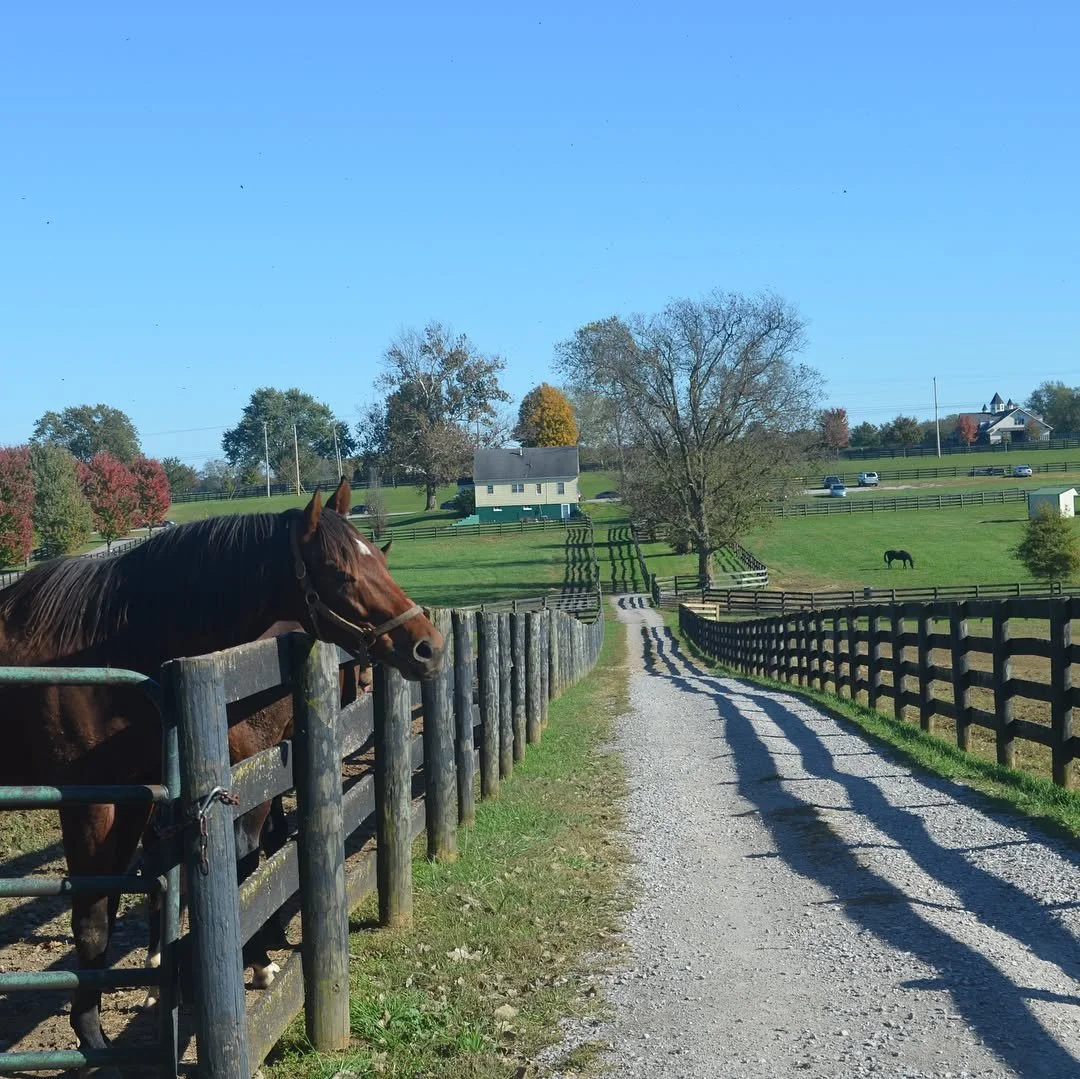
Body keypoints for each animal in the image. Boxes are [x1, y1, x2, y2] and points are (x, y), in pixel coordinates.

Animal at [0, 477, 442, 1061]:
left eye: (380, 561)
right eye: (341, 571)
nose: (429, 647)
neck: (103, 648)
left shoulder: (139, 795)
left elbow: (137, 893)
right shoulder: (91, 801)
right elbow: (93, 918)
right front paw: (93, 1038)